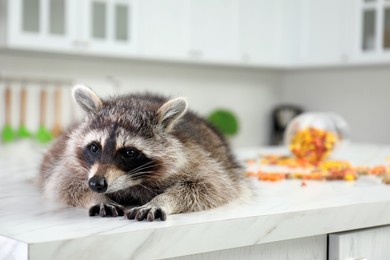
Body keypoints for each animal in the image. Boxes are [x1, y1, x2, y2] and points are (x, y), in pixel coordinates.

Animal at [38, 85, 247, 221]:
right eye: (95, 147)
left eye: (129, 152)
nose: (96, 184)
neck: (132, 183)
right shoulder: (69, 165)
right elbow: (64, 183)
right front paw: (96, 197)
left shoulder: (196, 157)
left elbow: (211, 186)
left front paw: (161, 200)